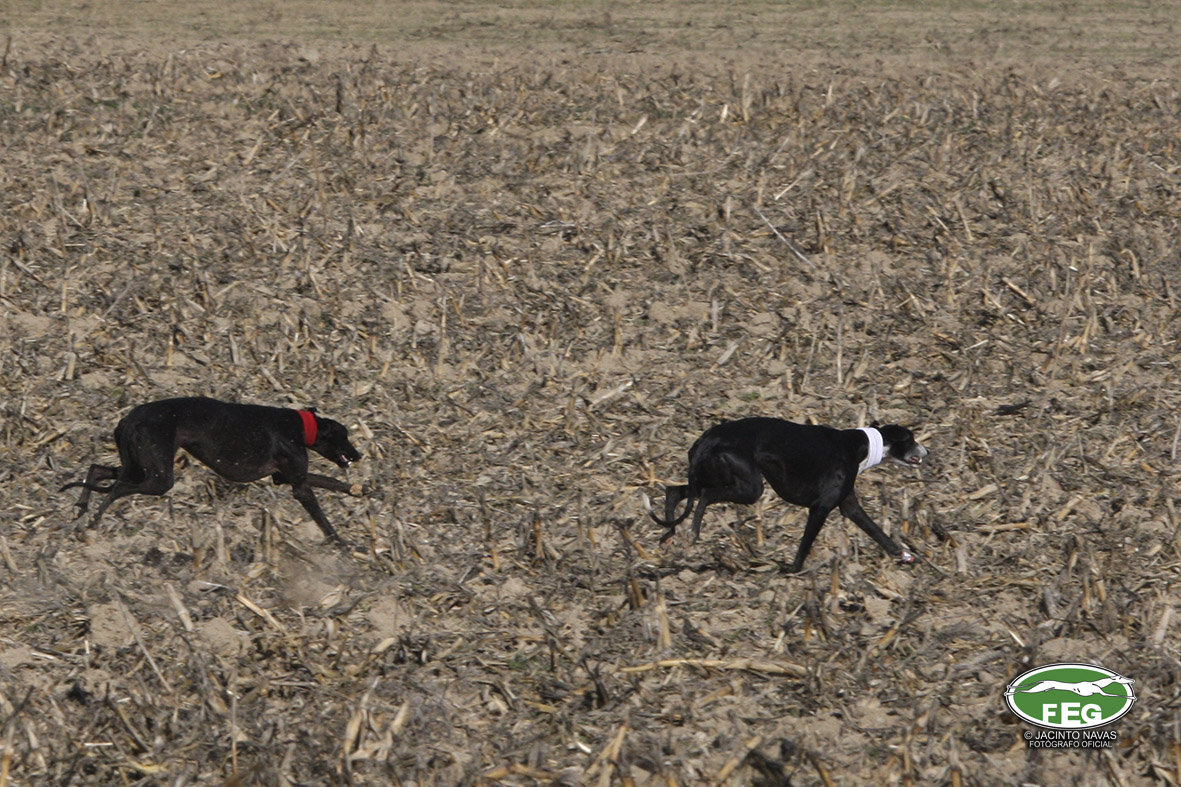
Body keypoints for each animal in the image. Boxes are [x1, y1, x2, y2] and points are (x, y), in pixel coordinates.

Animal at [61, 397, 364, 546]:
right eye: (344, 435)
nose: (358, 455)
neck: (300, 426)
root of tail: (129, 418)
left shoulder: (285, 477)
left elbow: (329, 481)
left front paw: (358, 490)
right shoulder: (298, 485)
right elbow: (323, 520)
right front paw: (343, 544)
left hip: (139, 467)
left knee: (98, 470)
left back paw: (81, 509)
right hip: (158, 478)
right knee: (118, 488)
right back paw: (92, 522)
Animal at [649, 417, 928, 572]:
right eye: (912, 438)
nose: (927, 452)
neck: (861, 445)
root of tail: (708, 438)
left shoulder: (849, 506)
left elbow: (878, 532)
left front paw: (903, 555)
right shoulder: (820, 507)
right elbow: (805, 545)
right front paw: (793, 569)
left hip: (711, 477)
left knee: (674, 492)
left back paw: (669, 536)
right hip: (748, 487)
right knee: (706, 496)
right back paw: (692, 533)